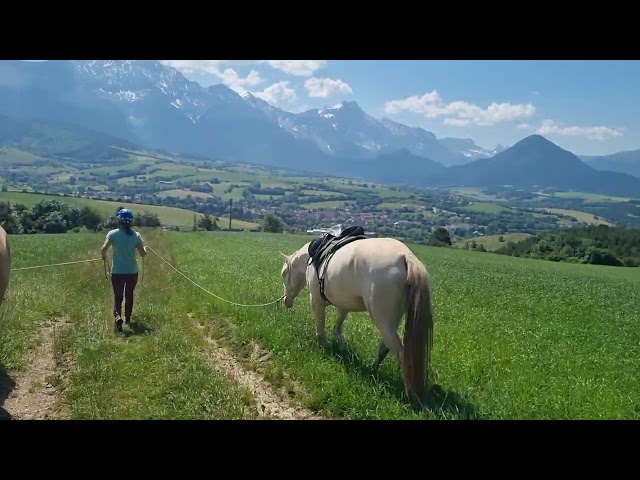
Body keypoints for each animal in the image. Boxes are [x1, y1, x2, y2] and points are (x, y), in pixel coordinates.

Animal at [279, 228, 434, 409]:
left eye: (284, 273)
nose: (286, 301)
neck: (313, 258)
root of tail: (405, 256)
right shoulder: (343, 306)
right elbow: (338, 327)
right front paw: (341, 348)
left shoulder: (316, 301)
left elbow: (320, 328)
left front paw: (322, 348)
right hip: (391, 321)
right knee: (385, 347)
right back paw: (372, 370)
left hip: (383, 321)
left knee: (402, 353)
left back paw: (411, 394)